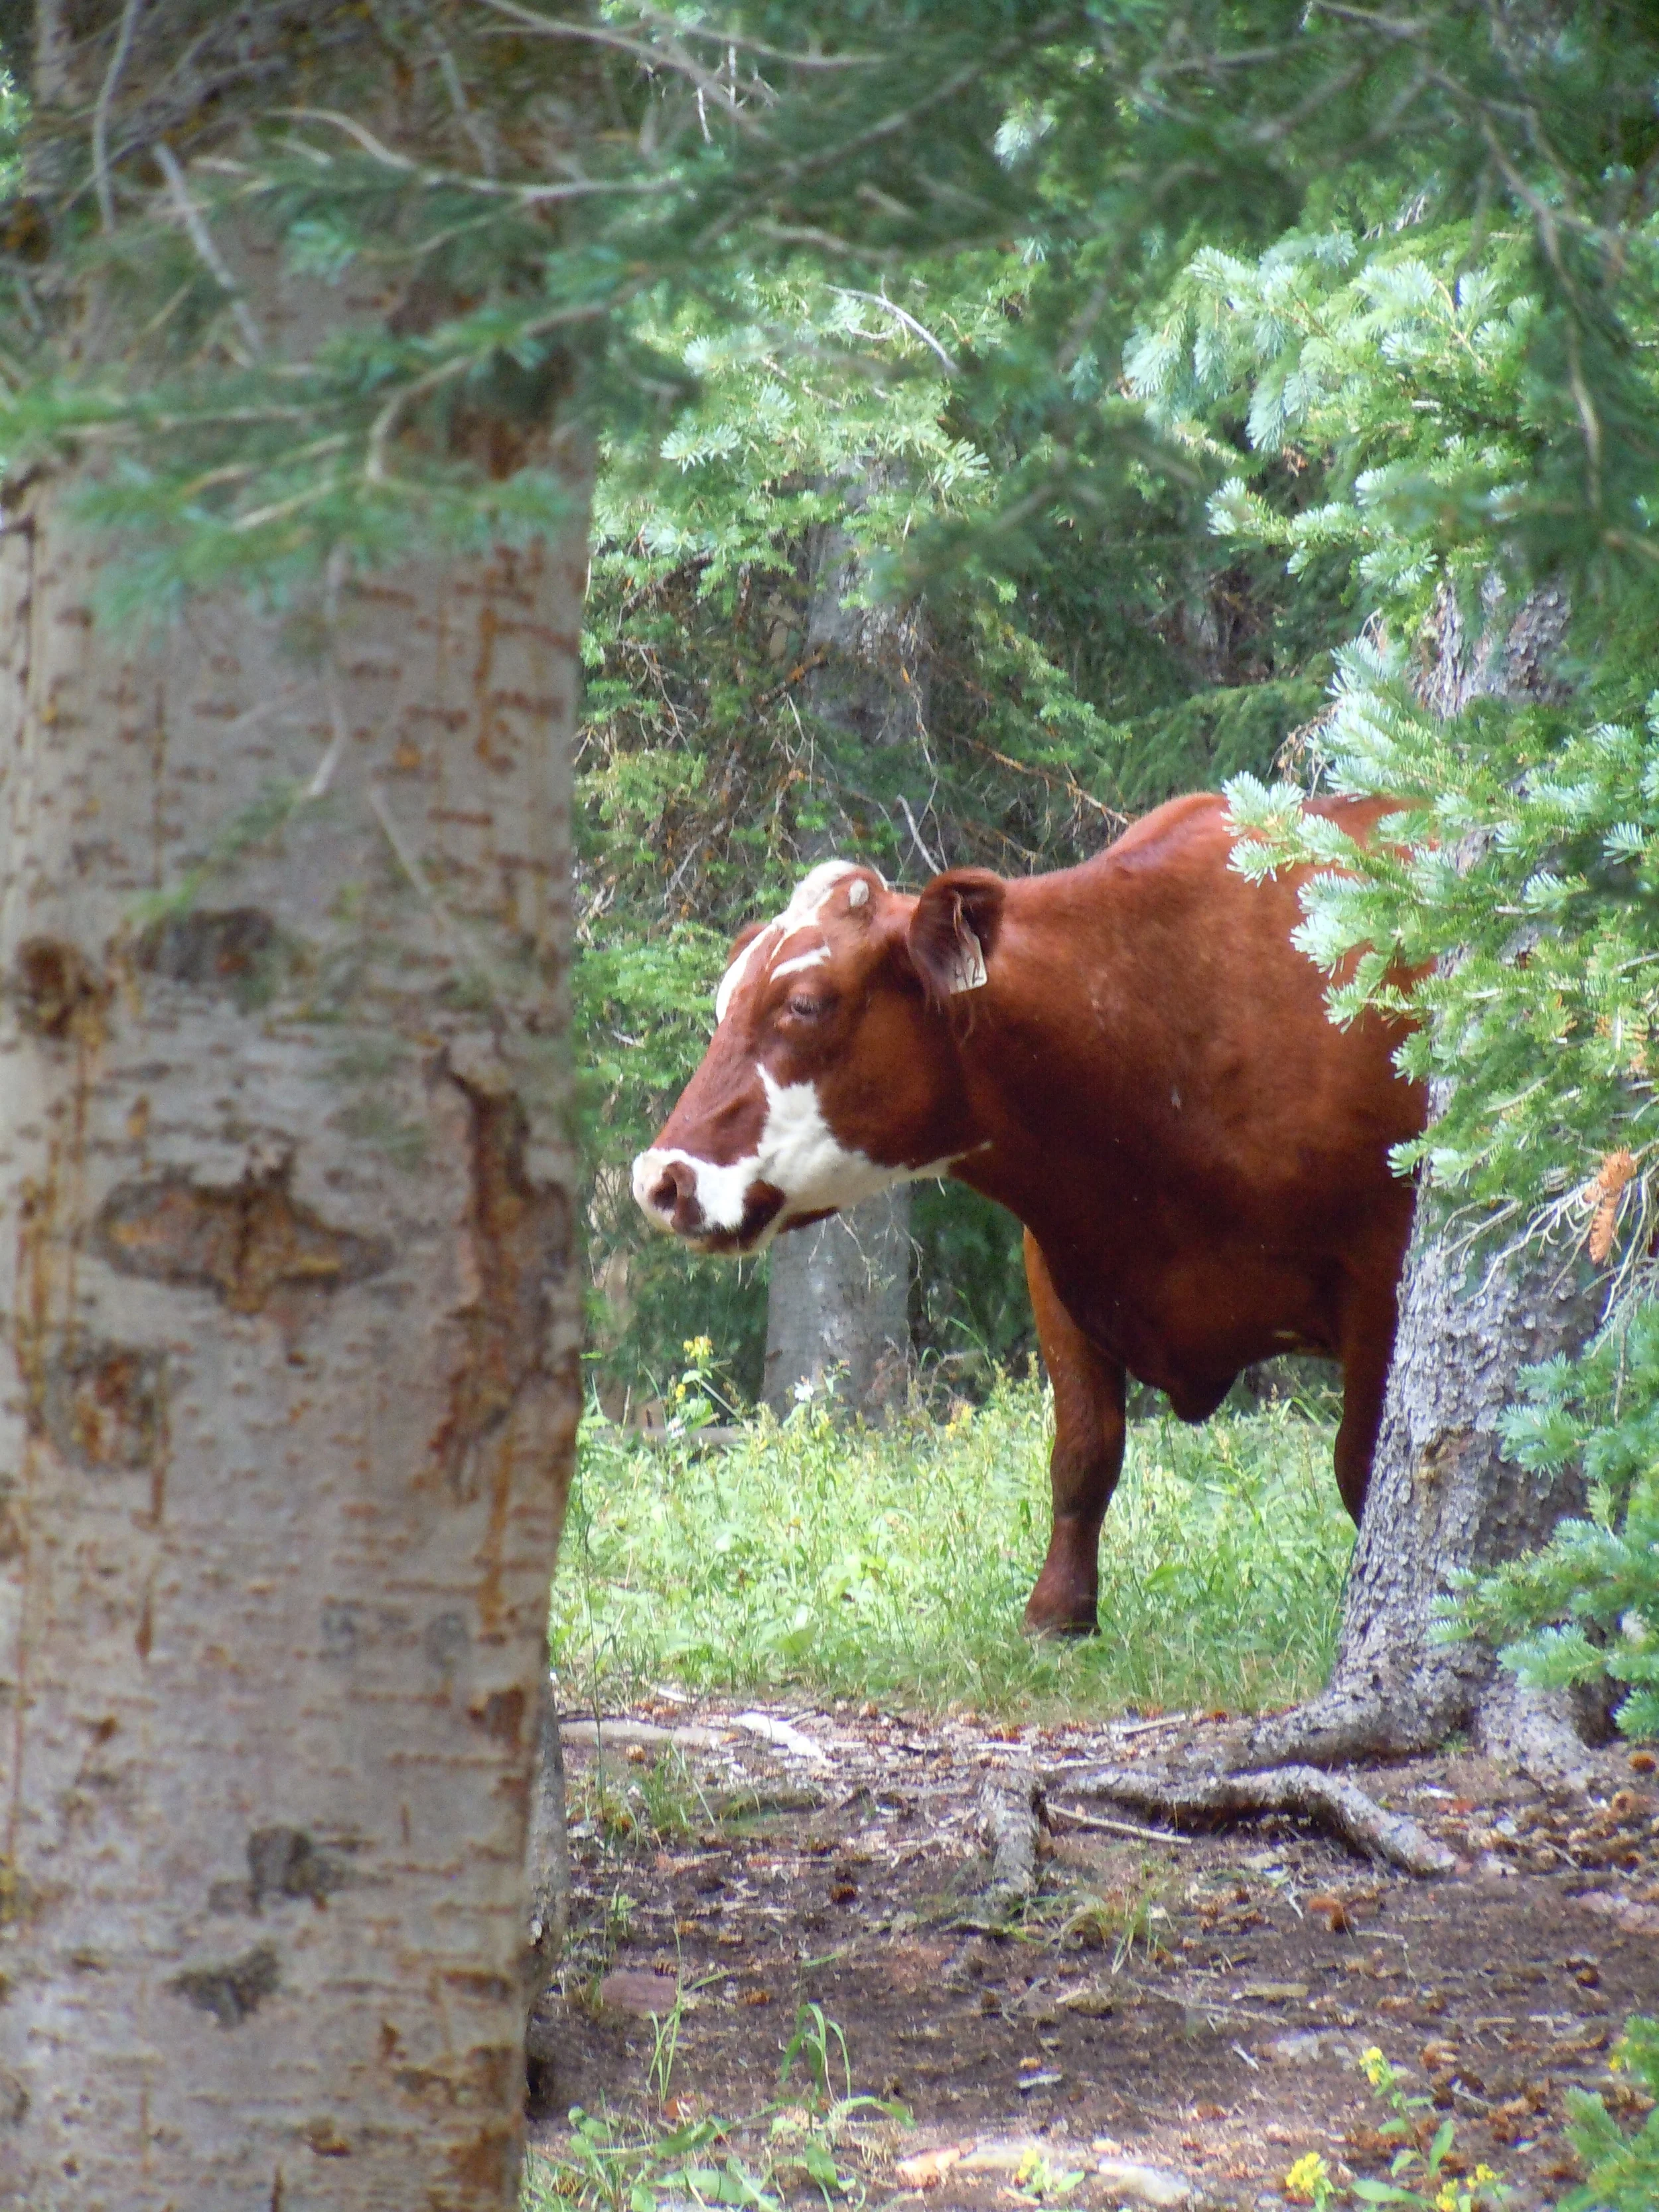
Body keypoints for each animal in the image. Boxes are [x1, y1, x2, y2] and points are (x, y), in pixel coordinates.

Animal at [631, 792, 1425, 1636]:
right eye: (723, 1002)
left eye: (804, 1004)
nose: (658, 1181)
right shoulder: (1058, 1257)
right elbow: (1082, 1453)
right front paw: (1057, 1615)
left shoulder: (1383, 1272)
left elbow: (1364, 1467)